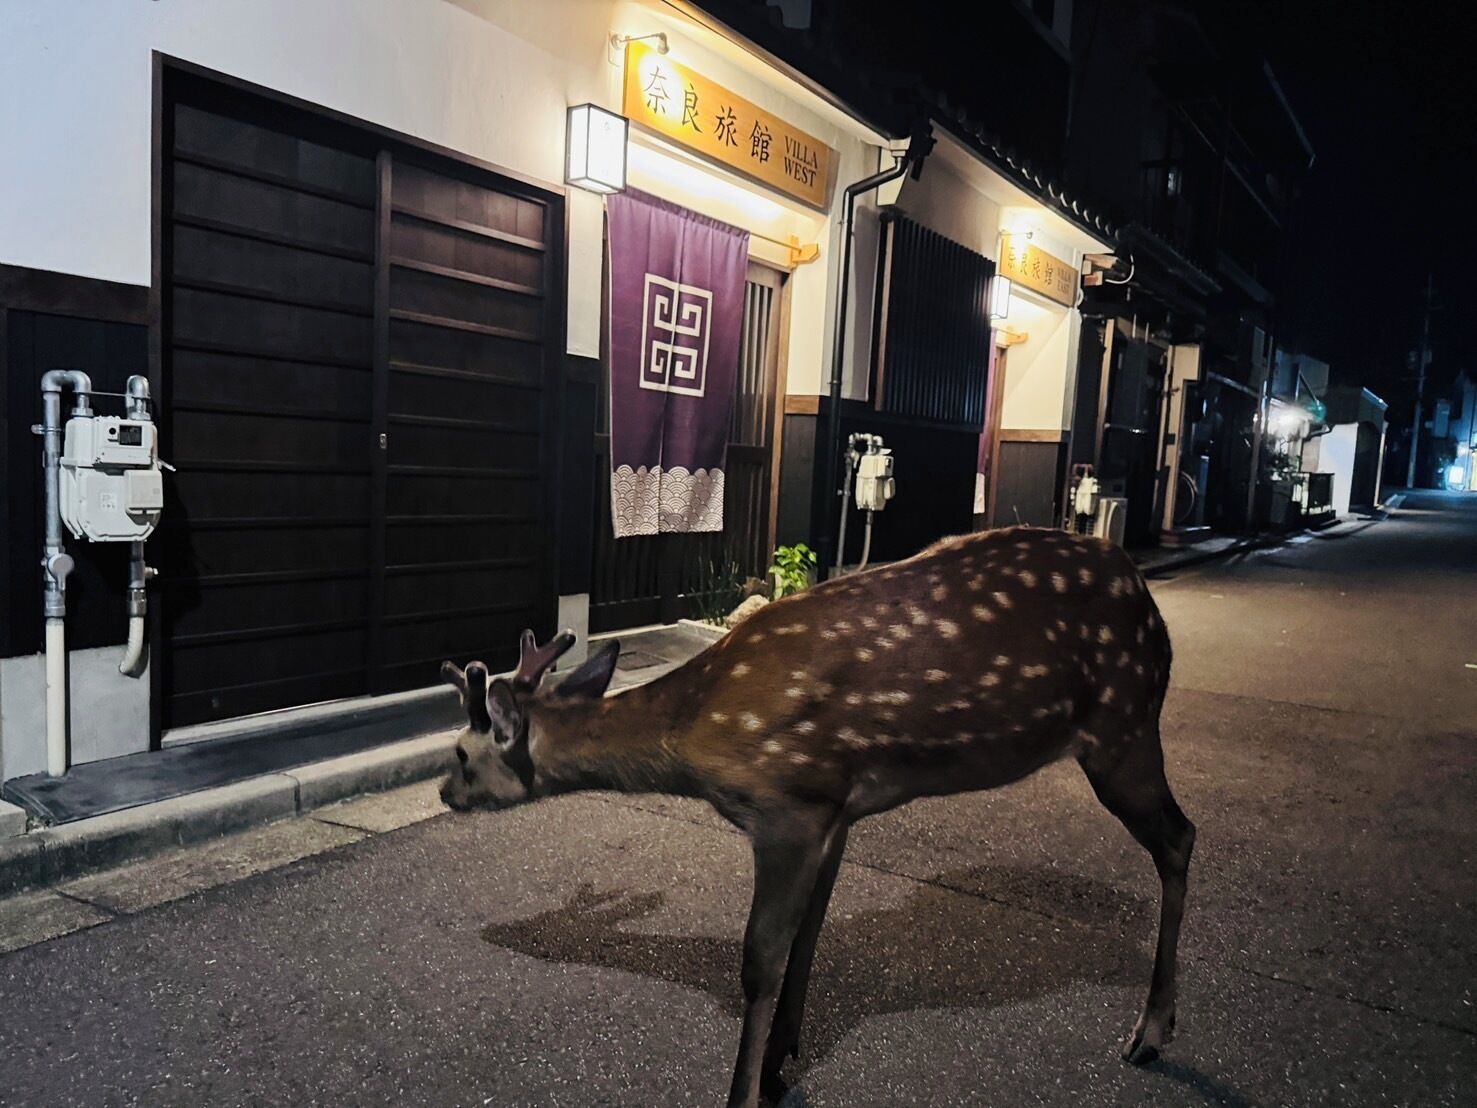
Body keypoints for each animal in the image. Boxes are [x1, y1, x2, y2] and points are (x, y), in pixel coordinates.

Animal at [438, 525, 1195, 1108]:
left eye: (462, 754)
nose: (445, 793)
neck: (698, 733)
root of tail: (1149, 602)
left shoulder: (787, 806)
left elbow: (761, 958)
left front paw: (742, 1091)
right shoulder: (836, 808)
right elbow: (810, 935)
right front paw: (780, 1062)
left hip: (1124, 726)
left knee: (1180, 837)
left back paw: (1151, 1032)